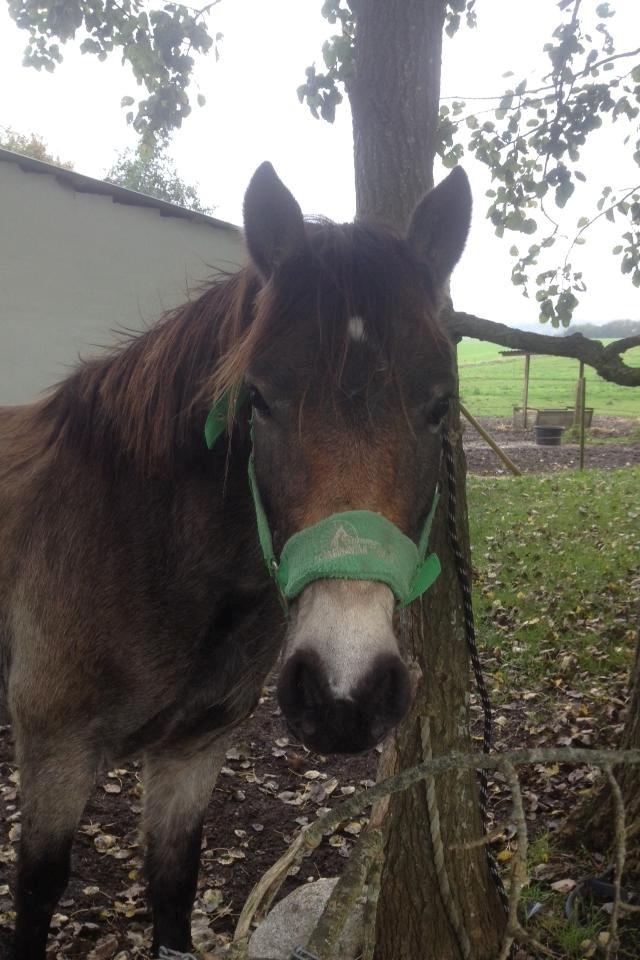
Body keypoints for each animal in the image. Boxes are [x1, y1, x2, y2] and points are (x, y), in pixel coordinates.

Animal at [0, 165, 470, 960]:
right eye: (259, 399)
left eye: (440, 406)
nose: (343, 693)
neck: (140, 550)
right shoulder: (56, 756)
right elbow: (35, 898)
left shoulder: (193, 752)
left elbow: (172, 889)